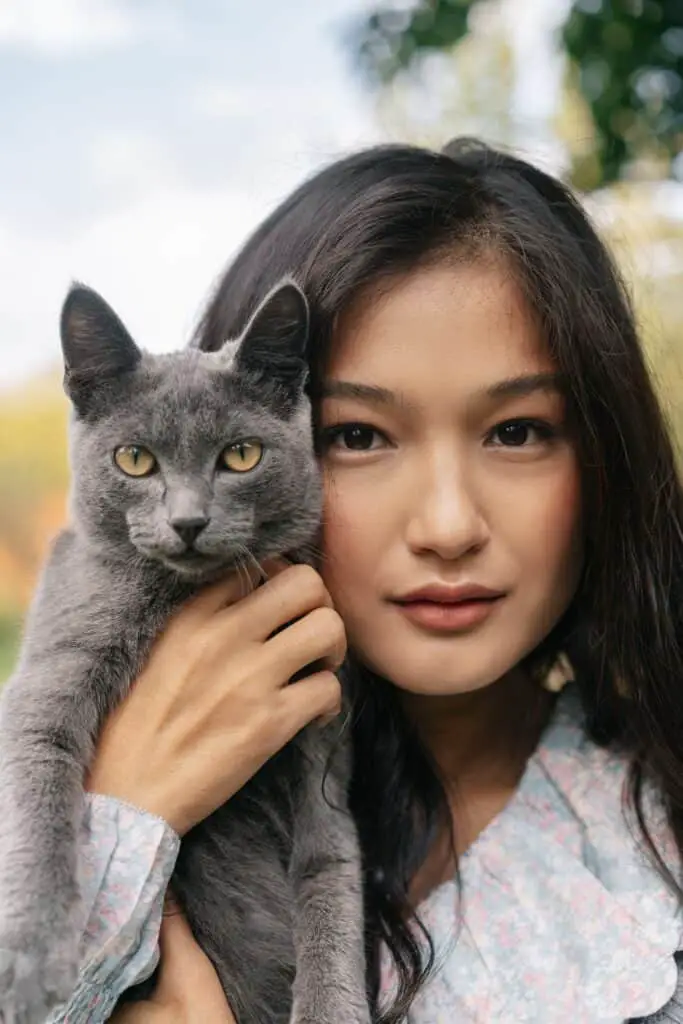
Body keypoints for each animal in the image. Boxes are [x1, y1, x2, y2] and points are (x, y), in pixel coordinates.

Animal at [0, 280, 370, 1024]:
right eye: (135, 459)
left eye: (241, 455)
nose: (189, 521)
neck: (176, 596)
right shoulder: (49, 673)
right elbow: (43, 804)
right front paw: (32, 959)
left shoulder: (323, 730)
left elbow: (329, 871)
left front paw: (328, 1005)